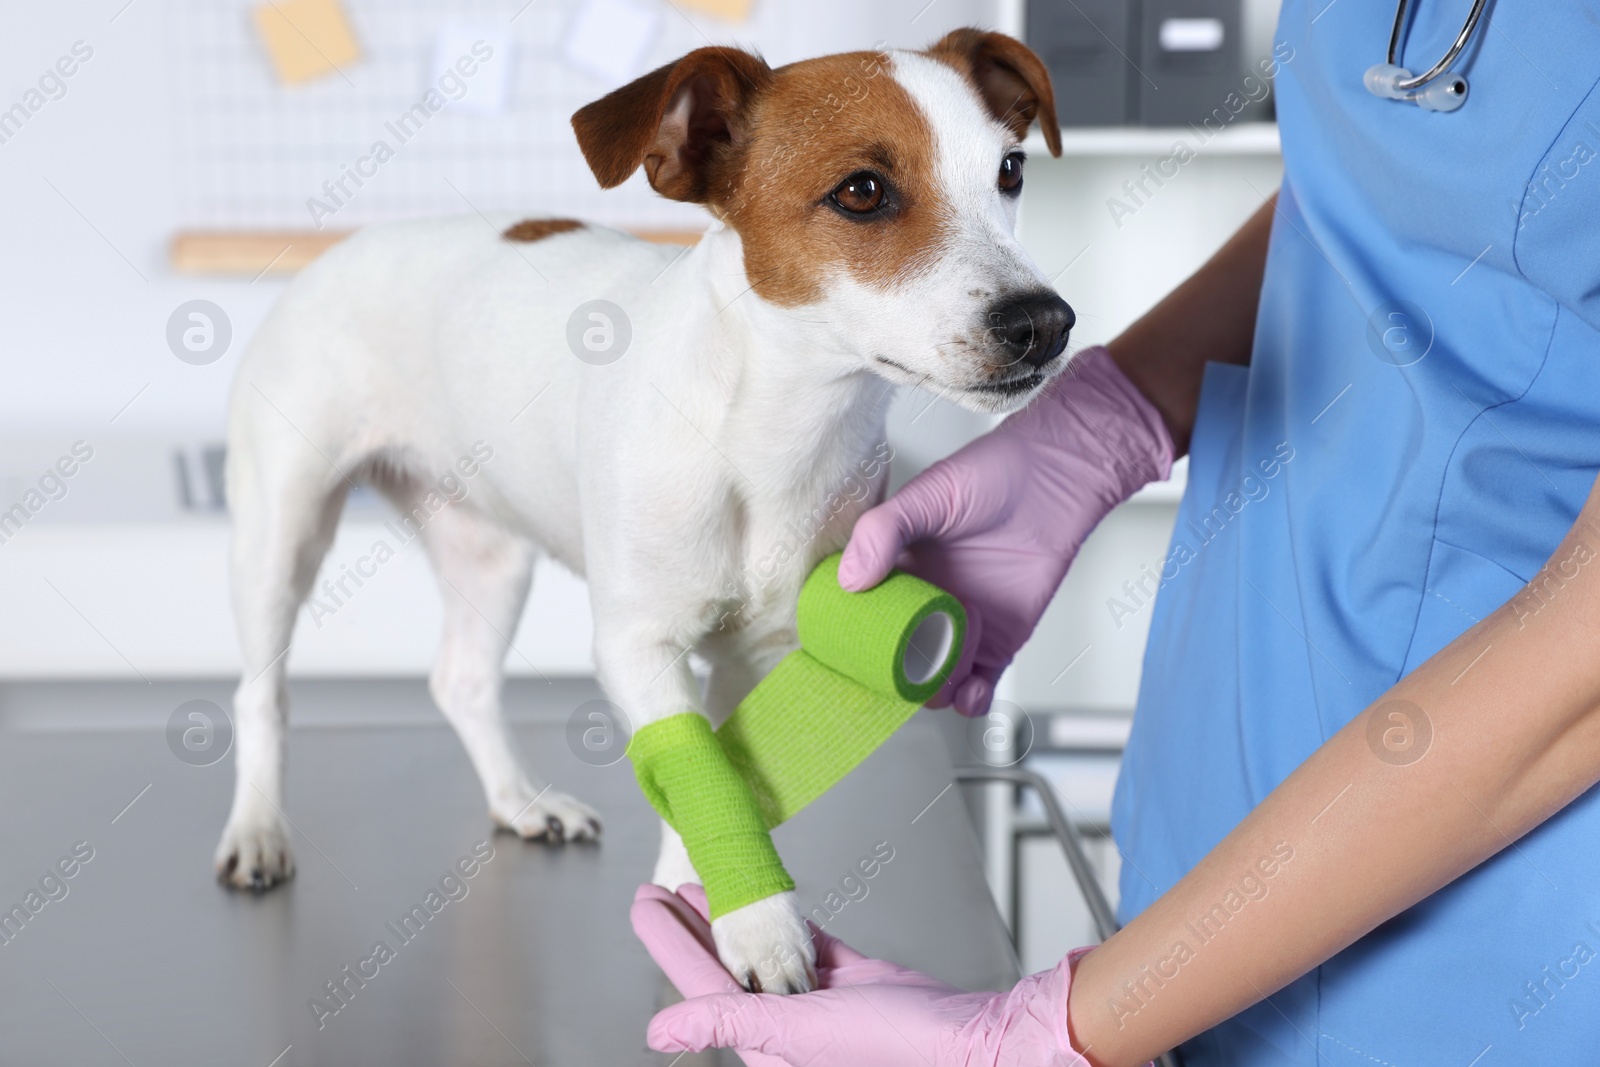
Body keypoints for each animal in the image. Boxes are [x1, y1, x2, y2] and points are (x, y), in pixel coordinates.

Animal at [219, 27, 1075, 991]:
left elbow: (720, 765)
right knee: (260, 694)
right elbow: (694, 758)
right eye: (862, 191)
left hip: (489, 553)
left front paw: (697, 904)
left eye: (1009, 170)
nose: (1046, 322)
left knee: (461, 679)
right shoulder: (636, 643)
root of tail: (338, 251)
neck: (770, 433)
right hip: (282, 531)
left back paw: (521, 800)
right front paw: (757, 923)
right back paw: (257, 831)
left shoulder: (758, 650)